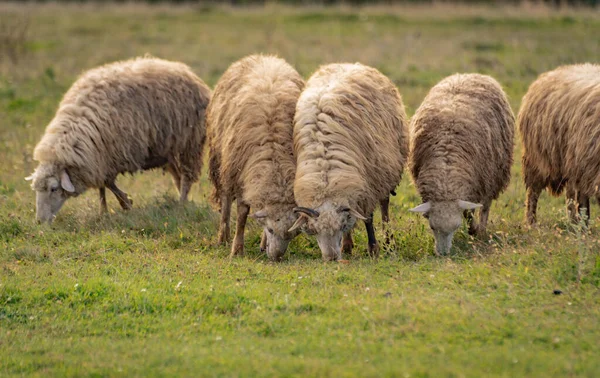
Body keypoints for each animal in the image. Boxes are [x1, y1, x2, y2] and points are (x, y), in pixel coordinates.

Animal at [27, 54, 212, 223]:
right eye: (36, 189)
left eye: (53, 188)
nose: (40, 221)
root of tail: (187, 72)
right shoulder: (99, 157)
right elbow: (103, 184)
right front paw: (104, 210)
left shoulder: (111, 154)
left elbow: (108, 182)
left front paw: (125, 202)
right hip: (169, 149)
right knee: (178, 176)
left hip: (189, 143)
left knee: (187, 176)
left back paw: (182, 203)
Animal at [207, 54, 304, 260]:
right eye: (271, 229)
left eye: (292, 236)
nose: (276, 257)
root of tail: (263, 56)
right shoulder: (240, 173)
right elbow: (242, 215)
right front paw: (237, 249)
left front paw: (262, 243)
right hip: (222, 160)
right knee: (225, 202)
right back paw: (223, 237)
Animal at [288, 63, 410, 262]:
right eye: (313, 230)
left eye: (340, 226)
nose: (331, 258)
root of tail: (351, 64)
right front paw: (347, 246)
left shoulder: (370, 183)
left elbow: (368, 217)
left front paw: (373, 248)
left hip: (385, 168)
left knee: (384, 206)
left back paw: (388, 242)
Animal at [410, 72, 512, 255]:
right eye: (432, 227)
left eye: (456, 227)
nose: (443, 254)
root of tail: (469, 74)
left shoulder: (477, 184)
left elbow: (470, 213)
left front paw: (474, 230)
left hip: (493, 174)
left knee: (486, 205)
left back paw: (482, 230)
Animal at [516, 63, 600, 226]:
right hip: (538, 159)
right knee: (533, 192)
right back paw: (531, 223)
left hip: (572, 161)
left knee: (572, 194)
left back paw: (575, 222)